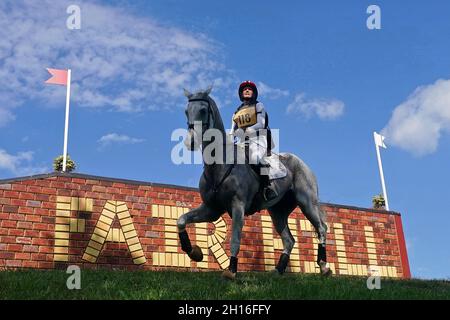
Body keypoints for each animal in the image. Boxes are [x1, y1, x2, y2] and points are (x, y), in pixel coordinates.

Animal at [178, 87, 332, 280]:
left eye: (203, 110)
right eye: (186, 111)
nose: (190, 142)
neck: (219, 164)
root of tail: (302, 163)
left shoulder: (238, 206)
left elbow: (235, 239)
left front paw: (231, 271)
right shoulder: (211, 209)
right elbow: (181, 220)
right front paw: (194, 252)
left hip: (307, 202)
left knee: (321, 228)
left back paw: (324, 267)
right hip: (278, 211)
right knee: (289, 239)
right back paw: (278, 270)